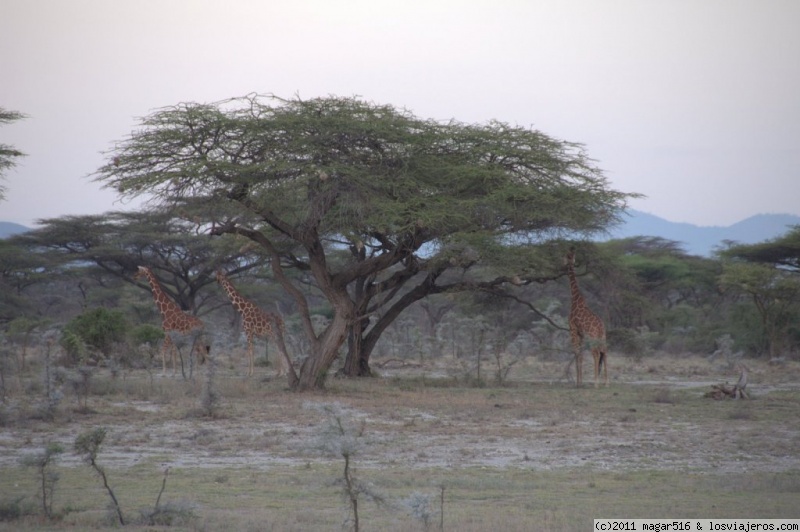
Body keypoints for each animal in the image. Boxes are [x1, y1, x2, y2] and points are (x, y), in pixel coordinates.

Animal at [564, 245, 608, 386]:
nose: (565, 264)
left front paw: (578, 383)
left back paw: (596, 383)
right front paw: (580, 381)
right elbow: (581, 355)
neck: (575, 298)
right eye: (571, 256)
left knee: (596, 353)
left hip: (592, 336)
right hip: (602, 337)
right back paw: (606, 383)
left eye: (566, 256)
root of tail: (600, 326)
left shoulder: (573, 329)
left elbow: (577, 353)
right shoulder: (580, 333)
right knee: (604, 352)